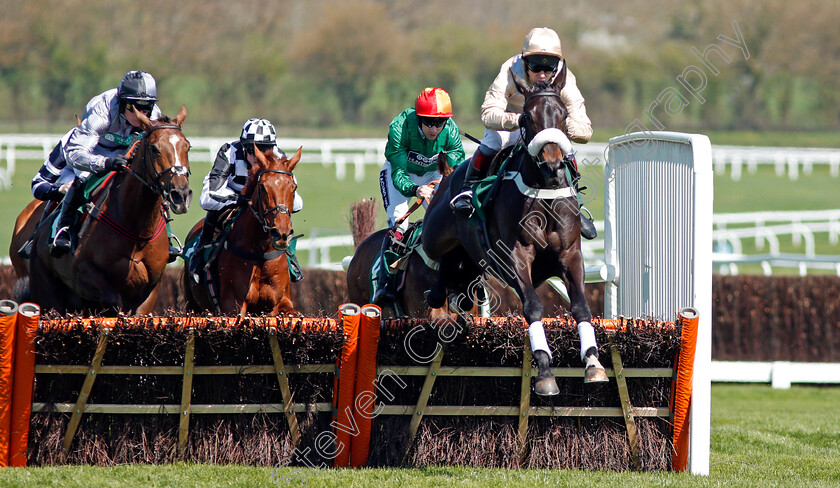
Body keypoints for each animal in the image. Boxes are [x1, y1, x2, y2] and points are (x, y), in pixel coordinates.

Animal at [17, 106, 191, 316]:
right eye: (155, 149)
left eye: (187, 146)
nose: (181, 195)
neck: (135, 228)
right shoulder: (84, 273)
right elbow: (112, 301)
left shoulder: (152, 287)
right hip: (46, 290)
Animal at [182, 145, 304, 316]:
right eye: (262, 187)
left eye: (294, 187)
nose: (281, 234)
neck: (260, 252)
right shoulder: (233, 305)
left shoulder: (274, 304)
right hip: (192, 304)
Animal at [424, 66, 608, 396]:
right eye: (527, 116)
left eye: (563, 114)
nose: (552, 166)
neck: (544, 194)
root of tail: (450, 174)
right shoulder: (517, 256)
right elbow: (533, 307)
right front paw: (545, 370)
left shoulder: (570, 254)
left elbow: (581, 307)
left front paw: (592, 362)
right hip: (434, 234)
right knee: (436, 256)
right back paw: (438, 295)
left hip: (472, 257)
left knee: (457, 268)